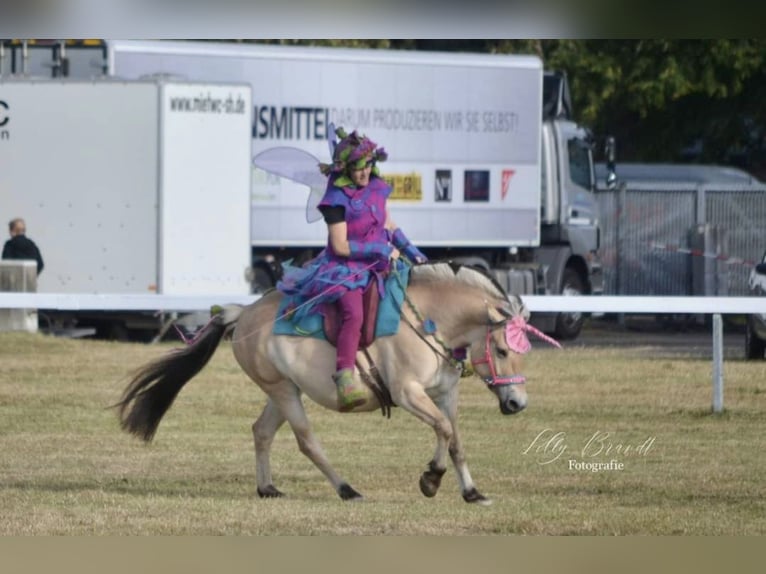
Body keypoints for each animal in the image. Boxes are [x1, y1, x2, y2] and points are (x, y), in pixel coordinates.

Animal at [117, 264, 556, 506]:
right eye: (502, 349)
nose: (517, 403)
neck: (431, 321)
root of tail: (242, 314)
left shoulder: (444, 393)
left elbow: (454, 439)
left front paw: (470, 492)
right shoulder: (409, 394)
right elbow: (444, 431)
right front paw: (431, 479)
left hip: (282, 391)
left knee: (261, 432)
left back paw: (267, 487)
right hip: (284, 392)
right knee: (307, 441)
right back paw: (347, 489)